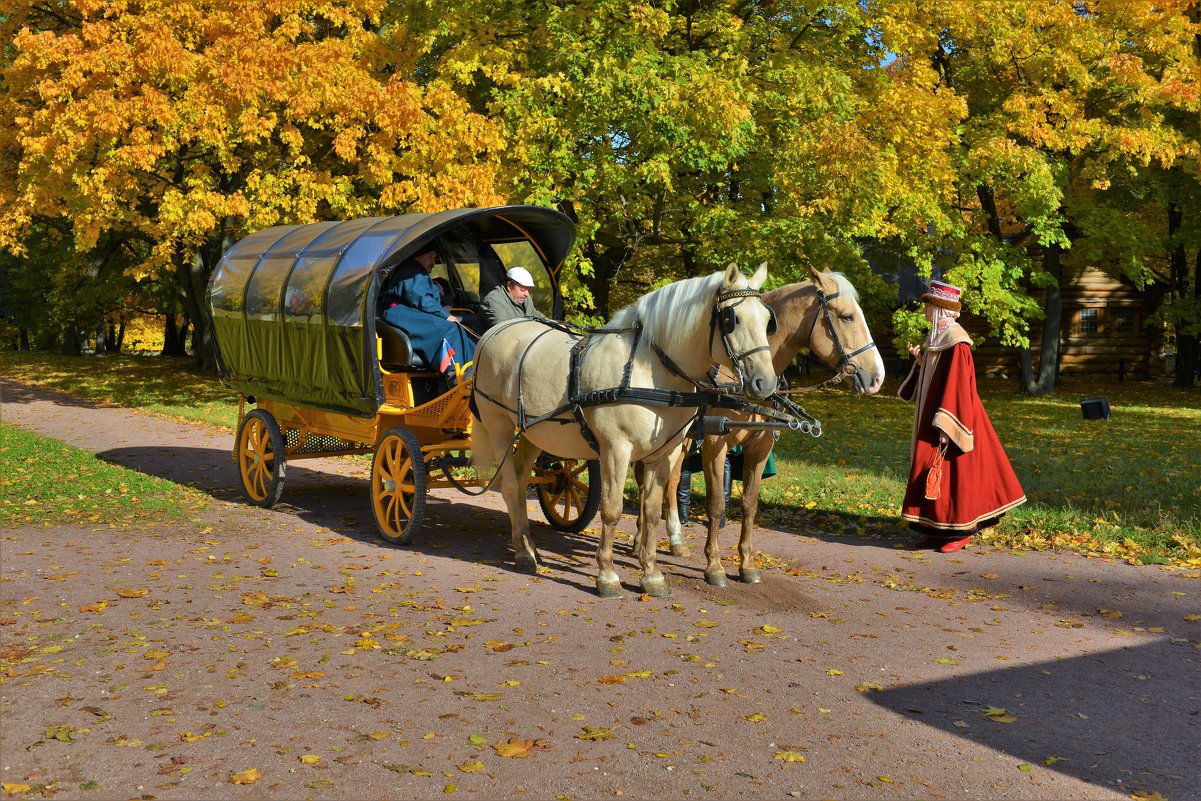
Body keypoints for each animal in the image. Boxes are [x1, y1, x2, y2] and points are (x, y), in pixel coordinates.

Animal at [468, 262, 778, 595]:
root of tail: (494, 332)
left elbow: (652, 510)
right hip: (500, 427)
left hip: (533, 432)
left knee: (523, 474)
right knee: (510, 484)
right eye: (732, 319)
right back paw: (524, 553)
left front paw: (651, 575)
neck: (649, 371)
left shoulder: (663, 453)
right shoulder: (616, 449)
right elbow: (612, 509)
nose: (766, 383)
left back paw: (529, 544)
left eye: (767, 321)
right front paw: (607, 576)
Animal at [653, 266, 888, 586]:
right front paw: (714, 566)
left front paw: (747, 564)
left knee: (673, 478)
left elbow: (750, 504)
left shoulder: (760, 447)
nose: (878, 376)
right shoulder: (714, 444)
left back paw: (674, 541)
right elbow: (716, 504)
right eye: (847, 316)